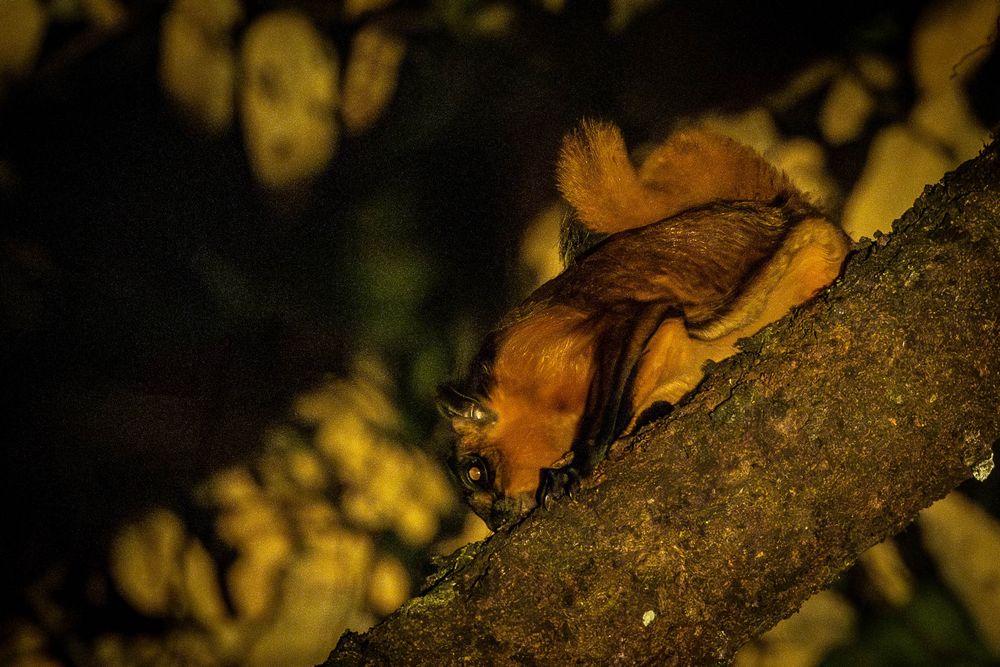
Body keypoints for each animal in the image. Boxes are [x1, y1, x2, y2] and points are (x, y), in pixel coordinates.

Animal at [438, 120, 851, 530]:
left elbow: (613, 382)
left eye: (475, 473)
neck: (540, 405)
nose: (496, 521)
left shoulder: (543, 350)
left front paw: (576, 468)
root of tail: (786, 209)